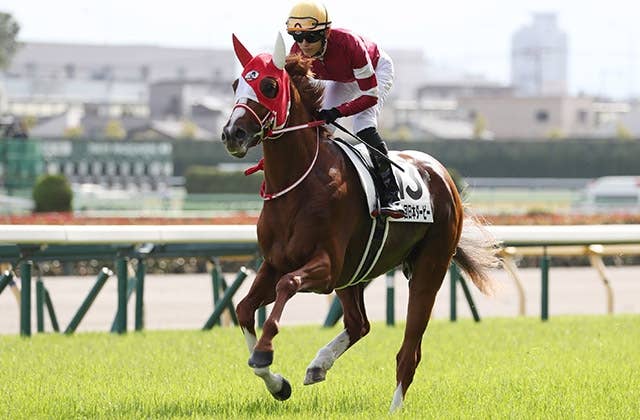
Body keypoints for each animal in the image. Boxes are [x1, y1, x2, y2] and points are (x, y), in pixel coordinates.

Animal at [221, 33, 499, 412]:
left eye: (267, 85)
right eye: (236, 84)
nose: (232, 133)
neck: (299, 182)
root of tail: (443, 174)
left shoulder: (325, 267)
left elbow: (287, 286)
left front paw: (265, 352)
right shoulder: (275, 262)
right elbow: (244, 308)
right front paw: (277, 383)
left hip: (428, 268)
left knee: (409, 351)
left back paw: (394, 408)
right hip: (355, 272)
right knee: (359, 323)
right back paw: (319, 364)